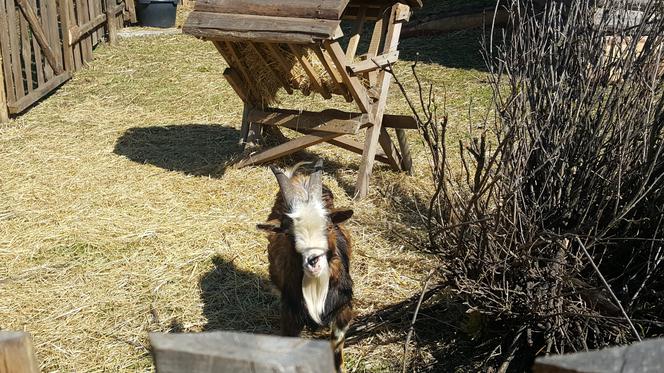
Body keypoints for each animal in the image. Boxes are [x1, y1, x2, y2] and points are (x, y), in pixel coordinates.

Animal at [256, 159, 356, 370]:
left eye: (329, 227)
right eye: (289, 233)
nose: (313, 262)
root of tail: (299, 179)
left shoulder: (343, 309)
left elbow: (337, 351)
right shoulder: (290, 315)